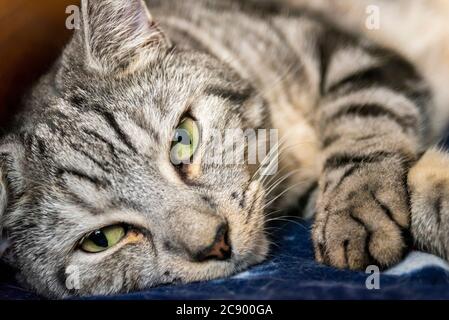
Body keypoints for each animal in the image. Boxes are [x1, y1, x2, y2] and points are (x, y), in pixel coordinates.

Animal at [0, 0, 448, 298]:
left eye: (182, 139)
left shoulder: (343, 51)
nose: (215, 241)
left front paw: (355, 208)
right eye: (102, 239)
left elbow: (363, 118)